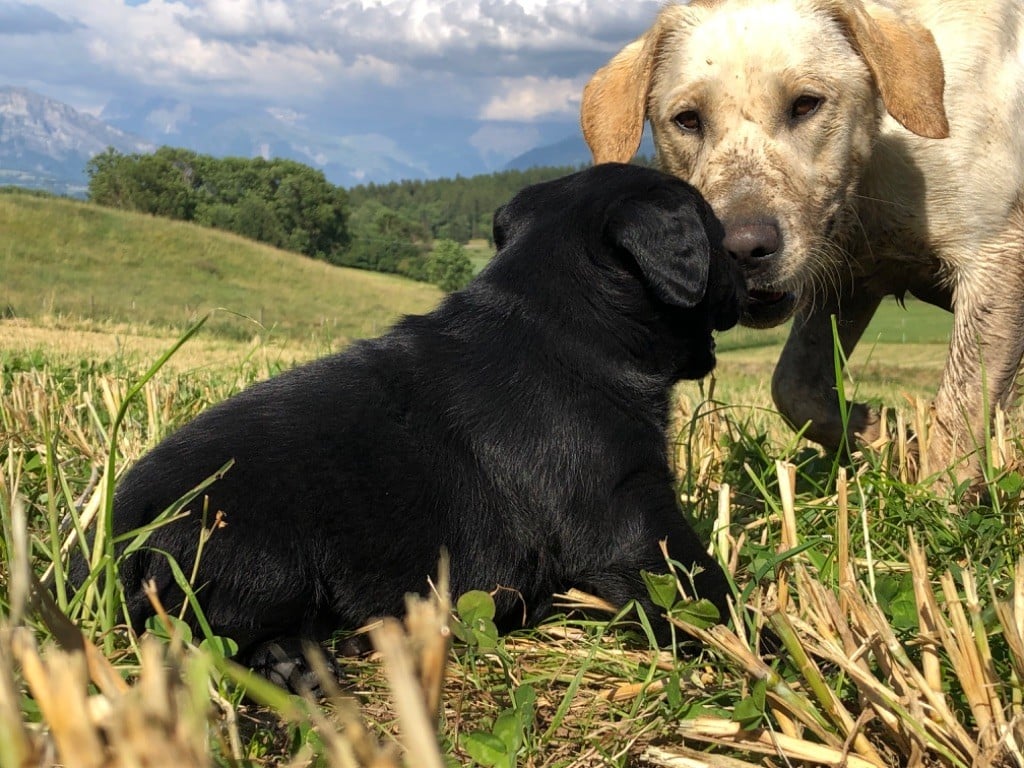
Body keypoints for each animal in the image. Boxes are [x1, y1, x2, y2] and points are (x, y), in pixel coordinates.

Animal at [74, 165, 745, 684]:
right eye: (716, 236)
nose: (751, 259)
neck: (561, 320)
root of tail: (102, 541)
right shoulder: (630, 520)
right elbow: (706, 592)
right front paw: (759, 652)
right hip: (260, 552)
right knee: (212, 634)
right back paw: (294, 663)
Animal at [585, 1, 1024, 487]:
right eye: (688, 119)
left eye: (806, 104)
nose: (741, 249)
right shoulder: (849, 281)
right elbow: (795, 389)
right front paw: (888, 437)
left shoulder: (995, 262)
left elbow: (958, 419)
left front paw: (938, 497)